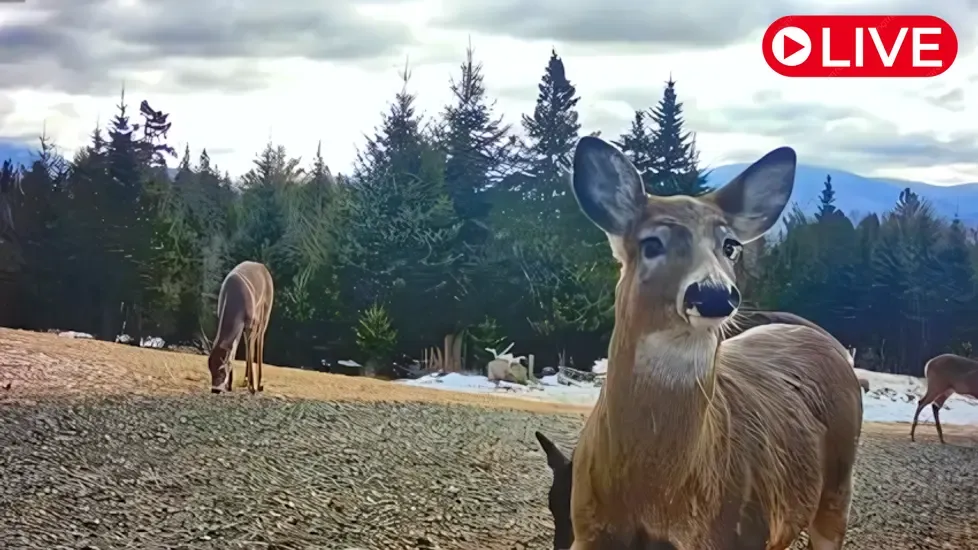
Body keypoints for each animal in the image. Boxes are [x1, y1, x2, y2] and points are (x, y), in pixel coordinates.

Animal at [207, 260, 275, 395]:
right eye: (210, 368)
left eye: (222, 369)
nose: (215, 389)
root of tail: (263, 267)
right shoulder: (237, 323)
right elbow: (233, 348)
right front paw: (229, 386)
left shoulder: (250, 322)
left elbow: (249, 350)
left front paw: (252, 387)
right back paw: (245, 380)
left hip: (265, 311)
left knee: (259, 340)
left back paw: (258, 384)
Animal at [565, 136, 864, 550]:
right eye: (652, 244)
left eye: (730, 246)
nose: (713, 294)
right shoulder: (587, 528)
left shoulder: (743, 531)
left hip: (838, 486)